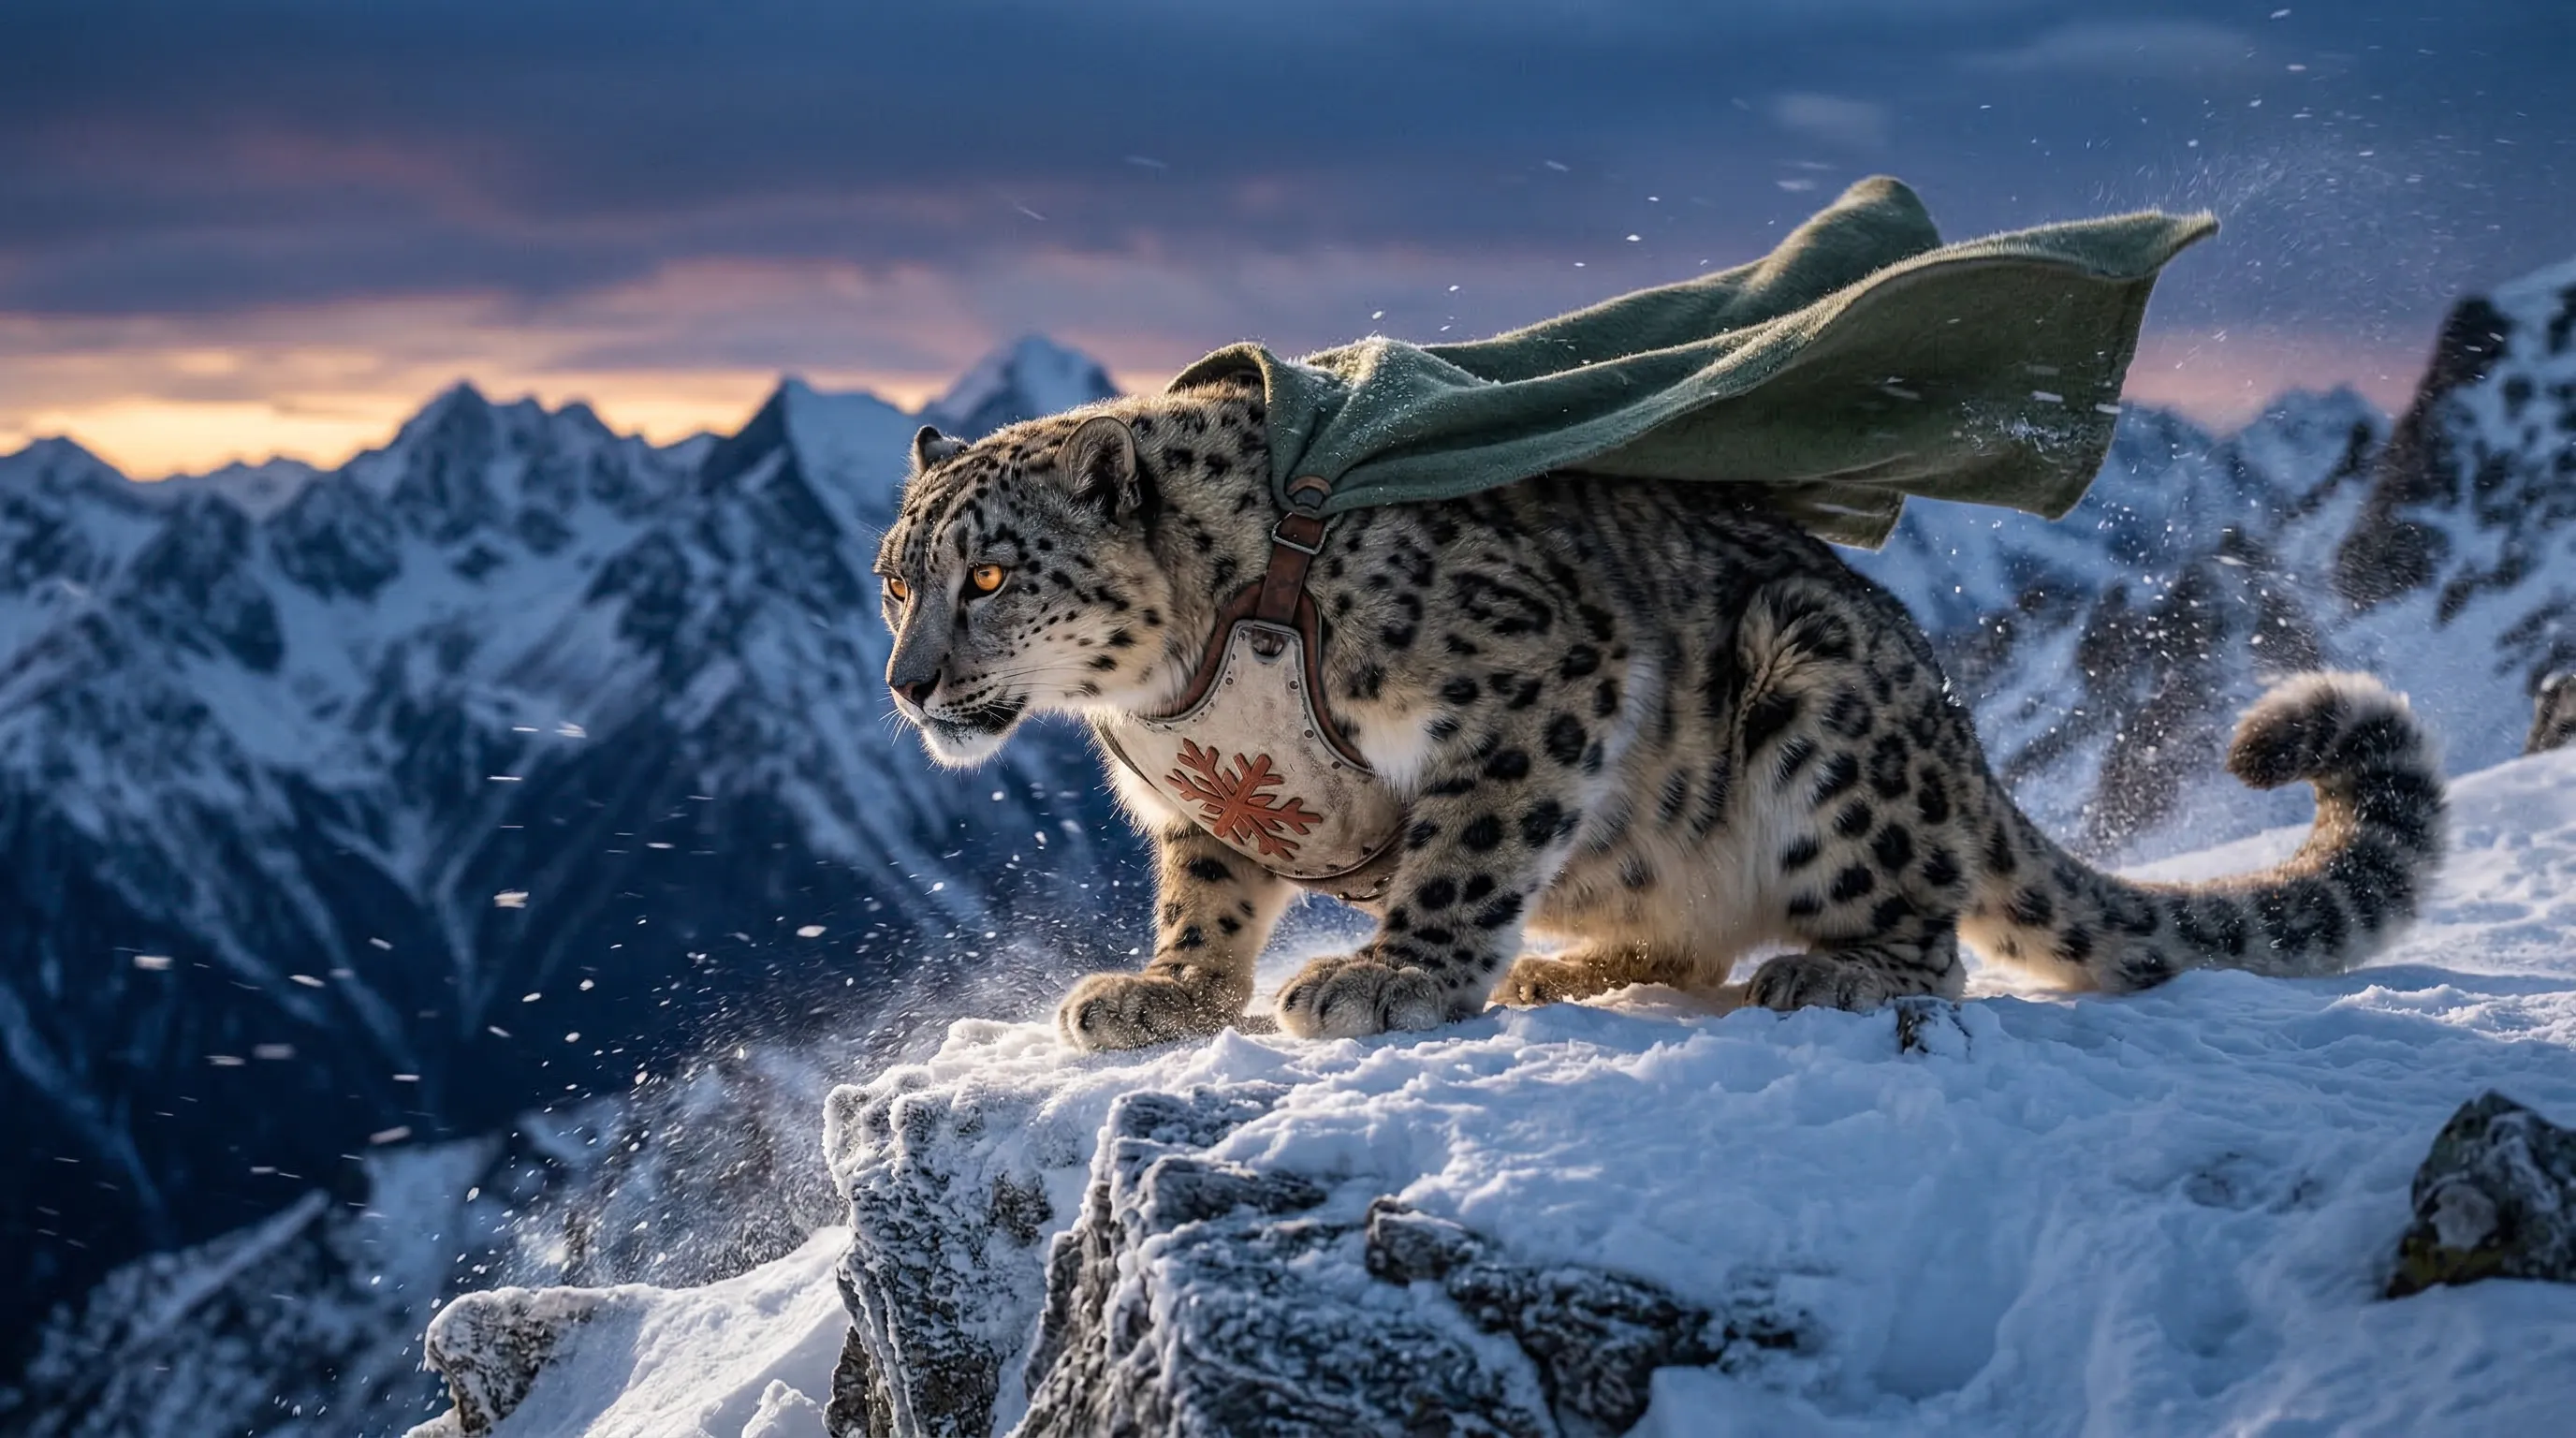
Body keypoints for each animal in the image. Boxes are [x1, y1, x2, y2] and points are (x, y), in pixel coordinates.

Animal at [873, 374, 2448, 1051]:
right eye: (897, 577)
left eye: (991, 573)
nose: (907, 680)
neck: (1177, 695)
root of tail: (1958, 739)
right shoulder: (1209, 798)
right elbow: (1206, 894)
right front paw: (1166, 992)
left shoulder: (1523, 677)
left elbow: (1466, 849)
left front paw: (1392, 977)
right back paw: (1577, 970)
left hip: (1823, 703)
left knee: (1928, 942)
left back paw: (1827, 972)